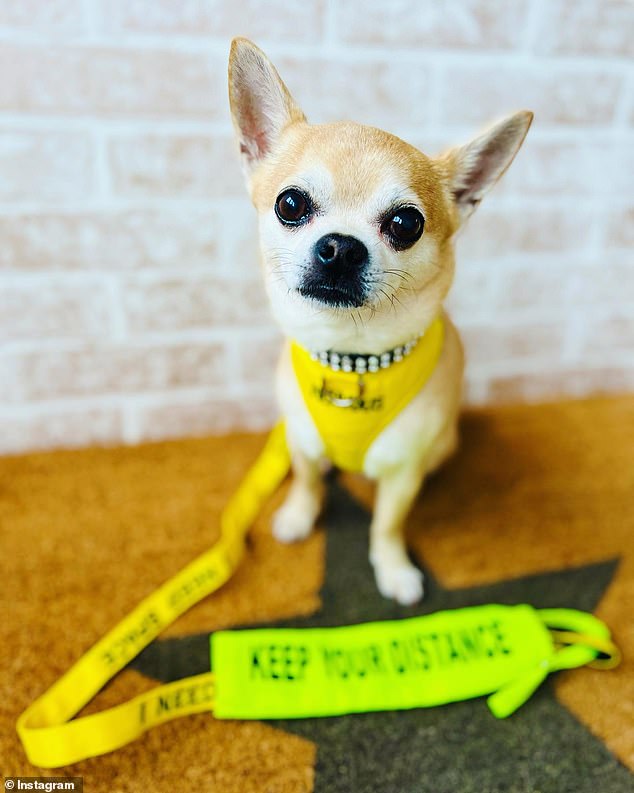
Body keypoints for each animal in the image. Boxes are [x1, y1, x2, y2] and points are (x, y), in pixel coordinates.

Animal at [225, 37, 532, 604]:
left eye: (406, 223)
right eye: (290, 204)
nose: (341, 247)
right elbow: (306, 480)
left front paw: (392, 569)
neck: (353, 359)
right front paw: (299, 516)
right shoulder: (299, 439)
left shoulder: (403, 473)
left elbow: (387, 524)